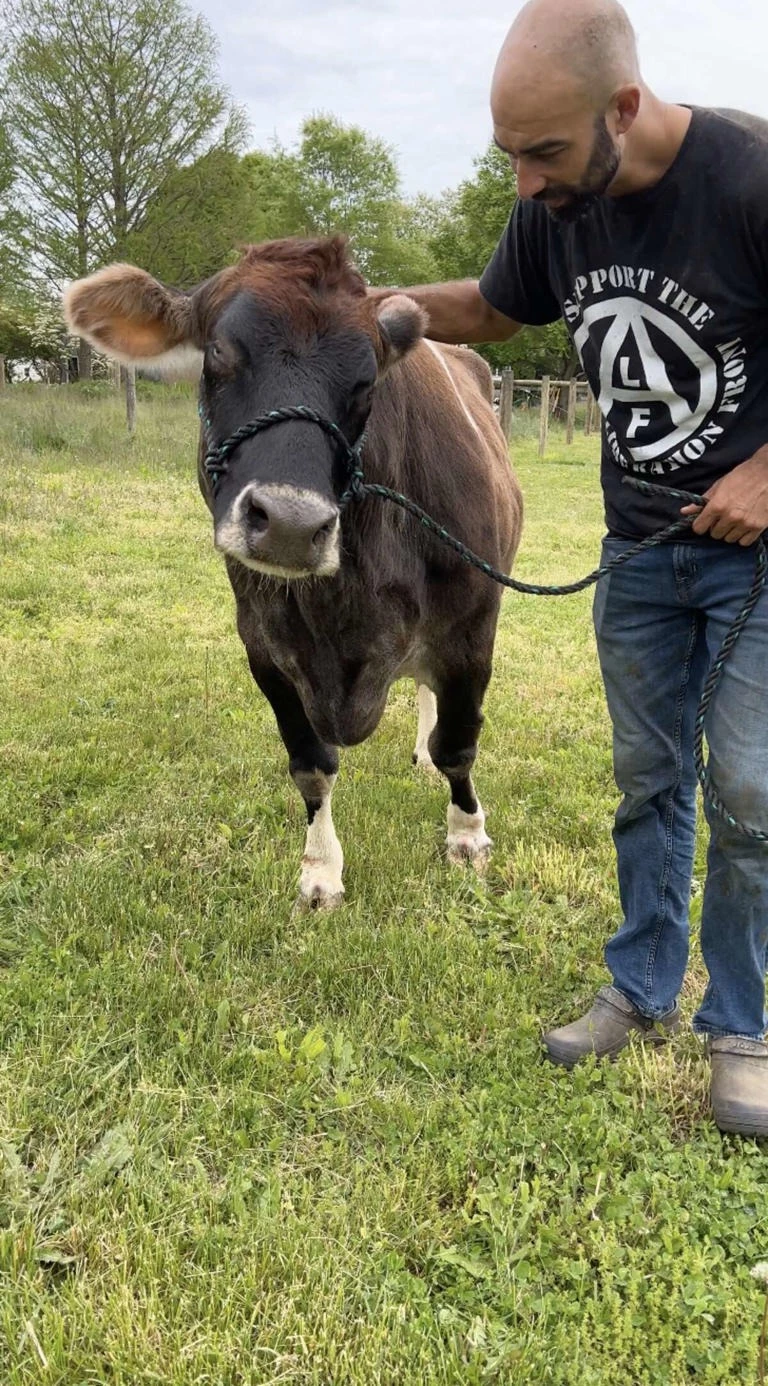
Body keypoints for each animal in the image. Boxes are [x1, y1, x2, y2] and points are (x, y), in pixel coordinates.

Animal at [64, 238, 521, 909]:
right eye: (219, 351)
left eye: (366, 382)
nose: (288, 523)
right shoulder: (263, 644)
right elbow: (311, 765)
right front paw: (320, 870)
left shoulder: (472, 627)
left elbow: (458, 747)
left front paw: (467, 835)